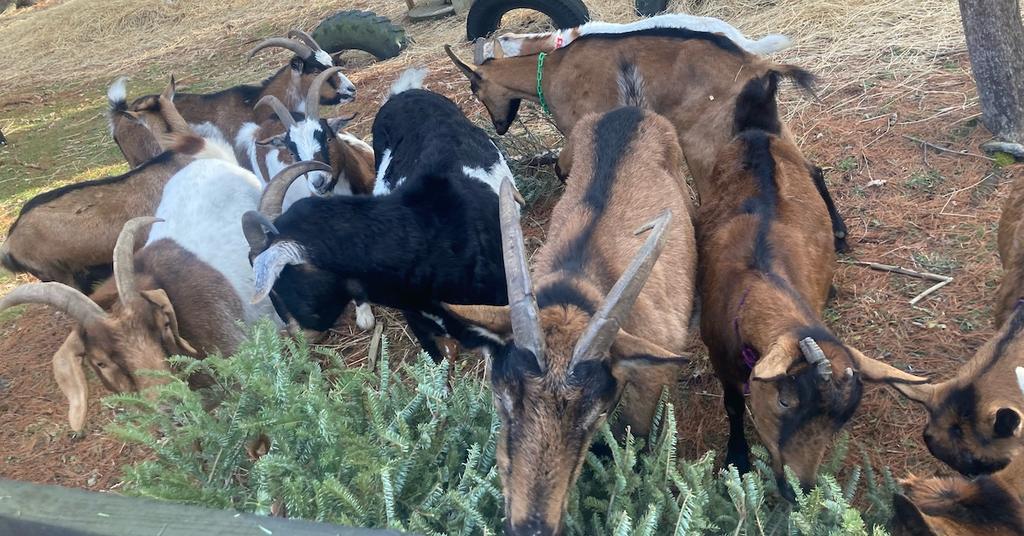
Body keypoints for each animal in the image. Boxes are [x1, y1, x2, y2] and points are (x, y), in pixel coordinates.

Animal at [446, 28, 850, 253]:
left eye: (475, 89)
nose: (499, 127)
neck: (553, 70)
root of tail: (758, 67)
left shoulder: (582, 123)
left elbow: (564, 168)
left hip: (701, 136)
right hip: (768, 121)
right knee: (812, 169)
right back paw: (840, 235)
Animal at [696, 71, 926, 500]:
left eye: (839, 422)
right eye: (785, 400)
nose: (801, 488)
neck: (756, 280)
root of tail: (757, 127)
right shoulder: (718, 353)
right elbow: (733, 405)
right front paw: (737, 458)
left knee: (816, 170)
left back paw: (839, 234)